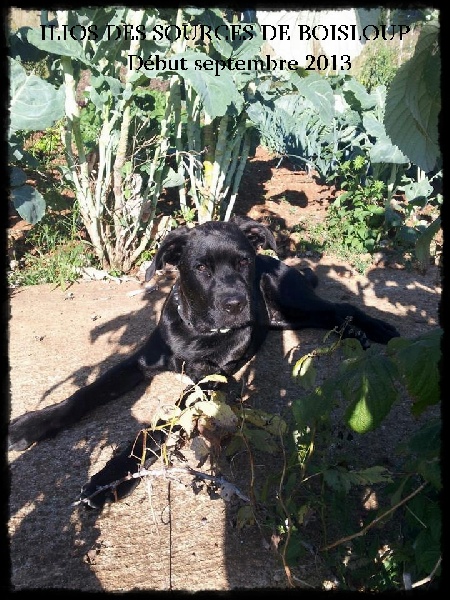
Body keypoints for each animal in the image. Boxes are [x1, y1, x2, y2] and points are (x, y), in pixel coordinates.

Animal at [9, 217, 400, 509]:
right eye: (200, 268)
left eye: (243, 261)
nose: (236, 303)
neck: (196, 330)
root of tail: (278, 261)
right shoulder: (140, 362)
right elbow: (88, 393)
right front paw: (35, 423)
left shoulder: (211, 380)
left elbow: (157, 426)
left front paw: (110, 479)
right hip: (287, 319)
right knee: (329, 316)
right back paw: (356, 335)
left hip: (290, 298)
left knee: (341, 307)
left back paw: (377, 330)